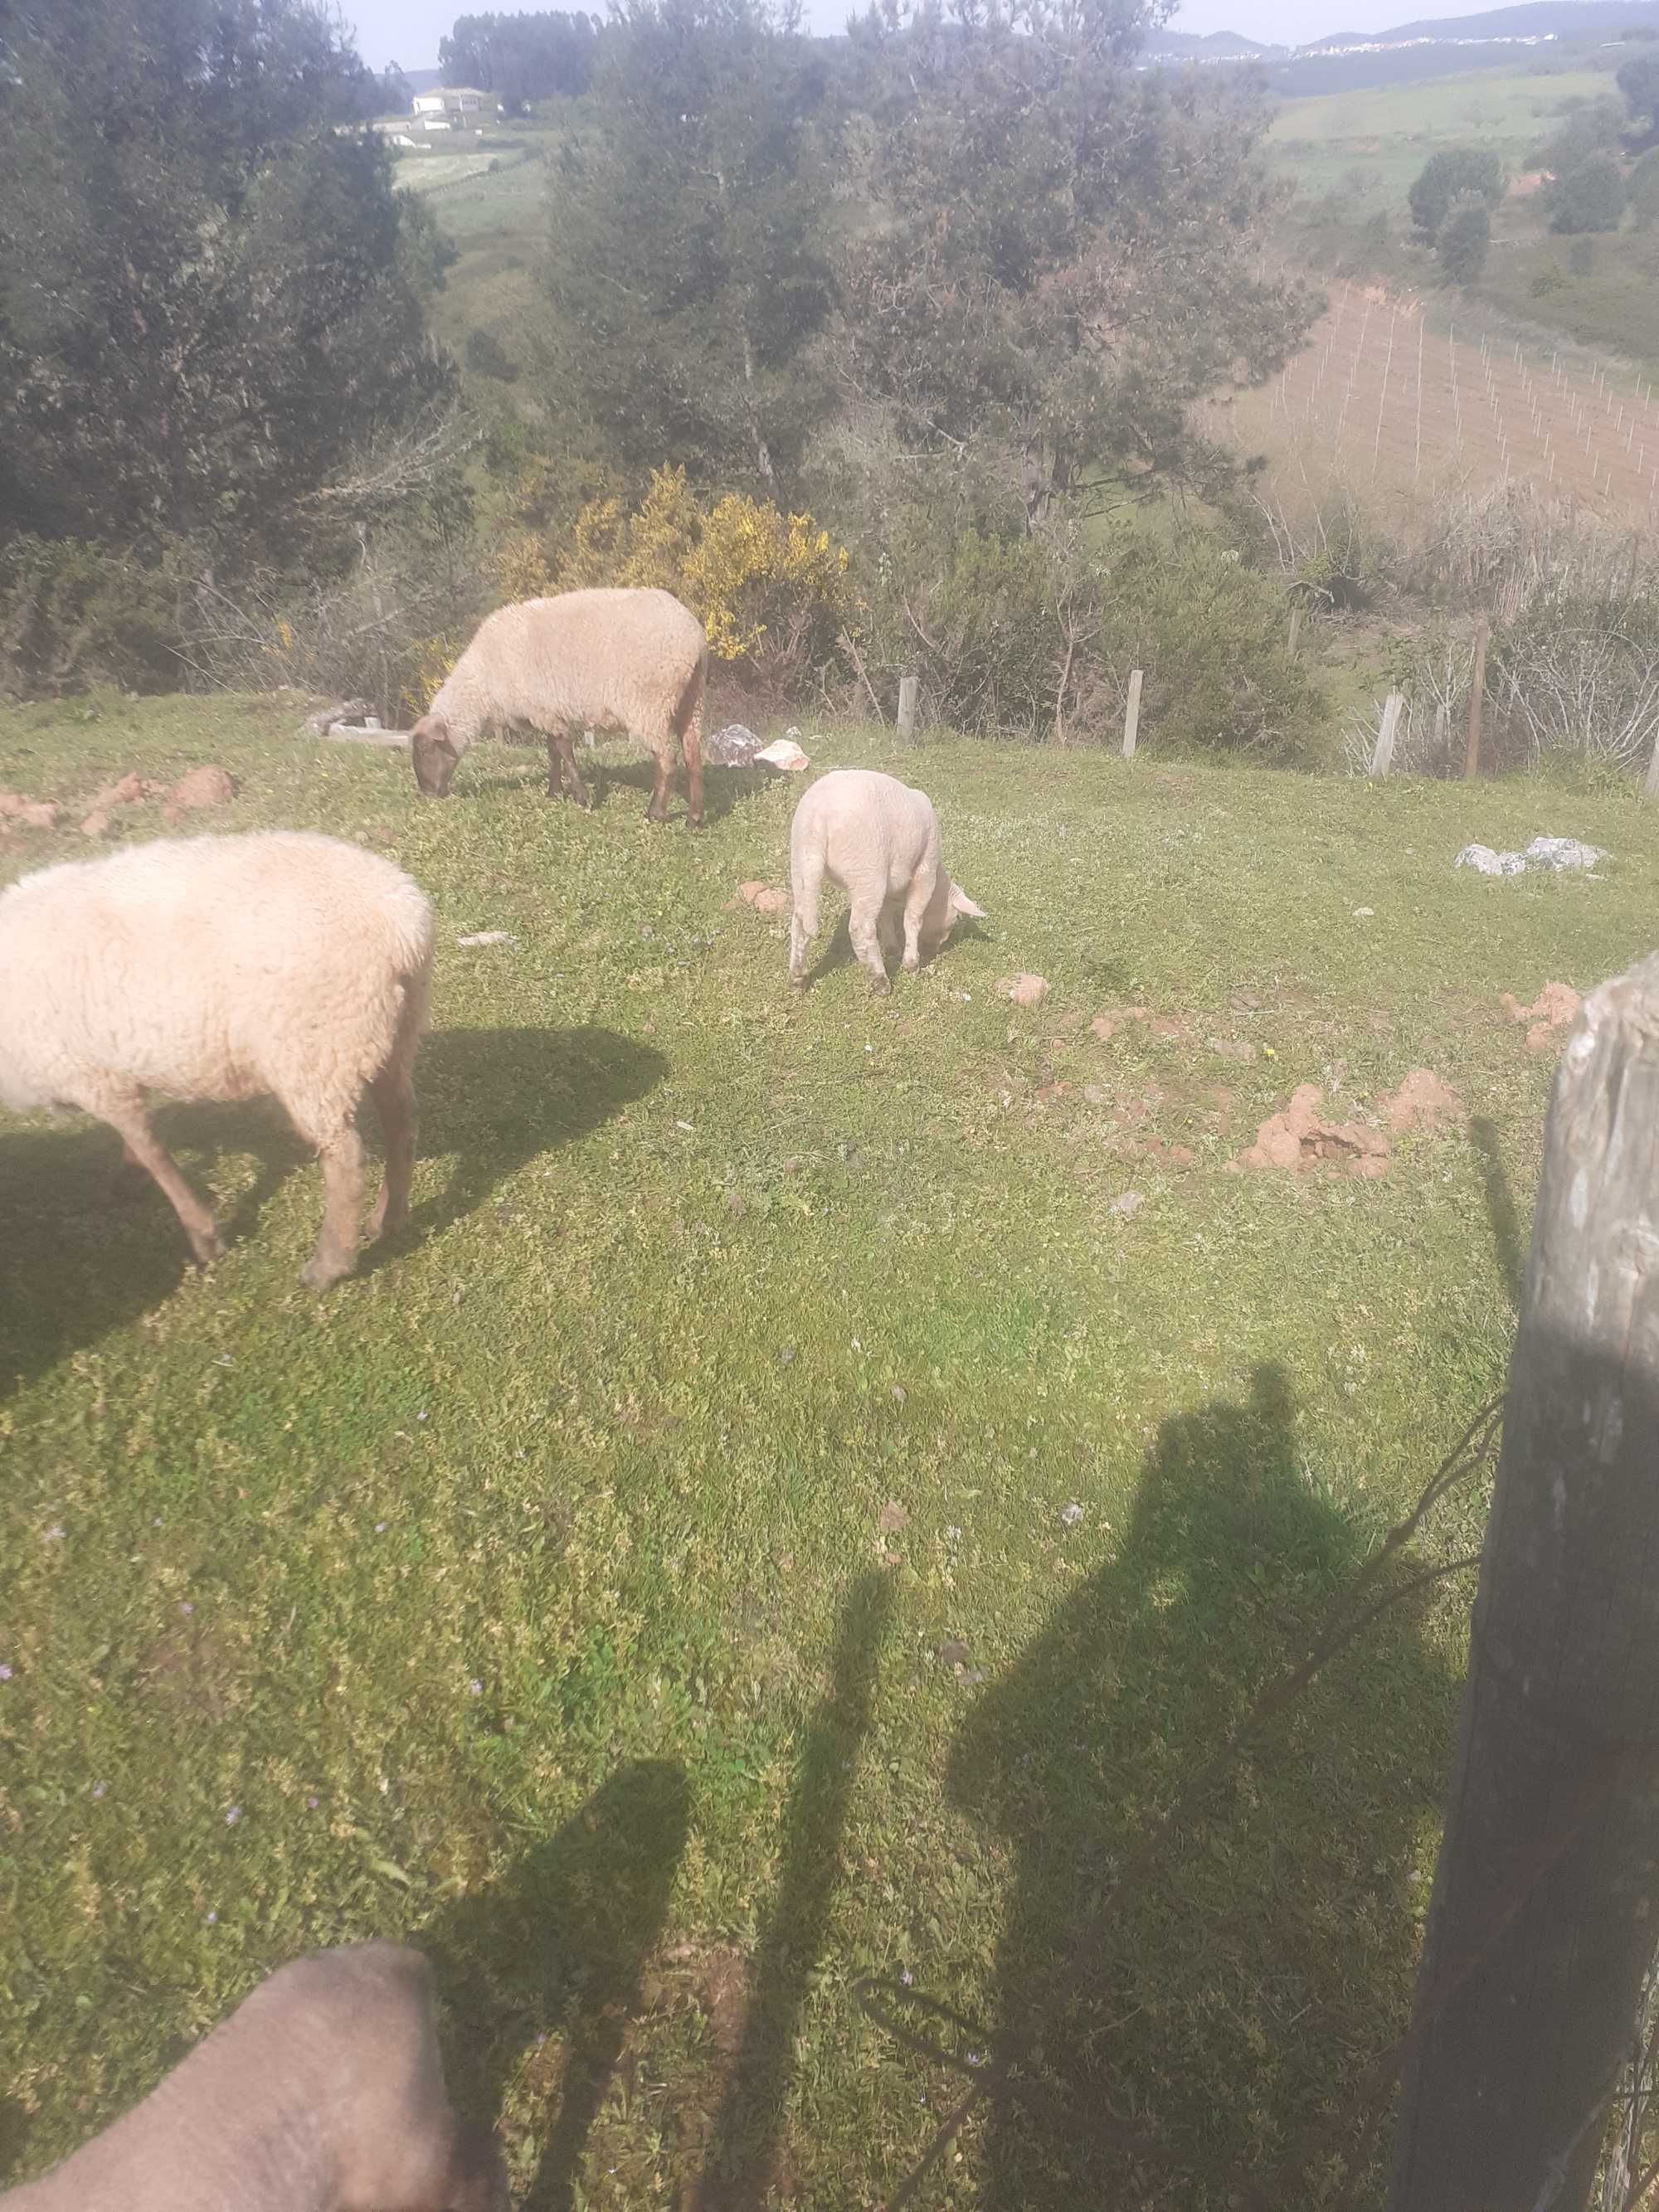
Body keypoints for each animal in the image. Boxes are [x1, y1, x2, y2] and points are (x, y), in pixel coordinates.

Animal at [0, 831, 435, 1291]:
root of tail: (403, 926)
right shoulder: (114, 1069)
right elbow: (141, 1140)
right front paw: (130, 1176)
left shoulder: (92, 1076)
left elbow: (152, 1150)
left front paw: (202, 1235)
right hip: (389, 1032)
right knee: (402, 1122)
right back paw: (387, 1220)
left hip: (315, 1052)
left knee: (346, 1159)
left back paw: (328, 1264)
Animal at [413, 584, 712, 827]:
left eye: (426, 749)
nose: (428, 793)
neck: (484, 680)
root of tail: (693, 637)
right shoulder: (547, 711)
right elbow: (553, 752)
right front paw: (554, 792)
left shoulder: (546, 712)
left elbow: (565, 751)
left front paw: (580, 796)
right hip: (692, 699)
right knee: (693, 756)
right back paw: (694, 818)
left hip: (649, 703)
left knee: (667, 759)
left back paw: (655, 813)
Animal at [787, 770, 986, 995]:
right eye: (953, 920)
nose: (933, 949)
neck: (938, 886)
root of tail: (819, 817)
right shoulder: (925, 870)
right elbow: (913, 918)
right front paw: (911, 964)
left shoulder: (889, 882)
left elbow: (885, 914)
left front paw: (891, 949)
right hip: (867, 869)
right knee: (861, 928)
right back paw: (880, 981)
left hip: (802, 862)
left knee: (800, 922)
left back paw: (798, 979)